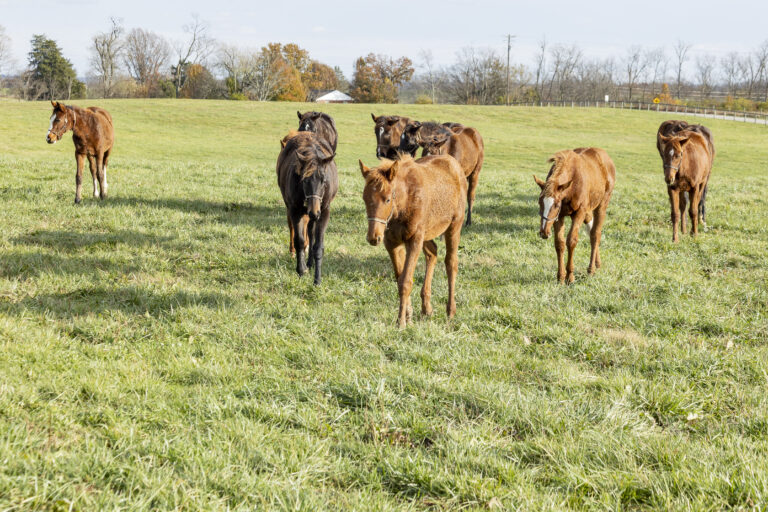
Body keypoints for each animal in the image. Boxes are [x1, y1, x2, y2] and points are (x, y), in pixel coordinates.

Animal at [277, 131, 339, 285]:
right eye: (304, 180)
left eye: (324, 180)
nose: (314, 211)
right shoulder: (295, 210)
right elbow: (299, 240)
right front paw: (301, 269)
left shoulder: (324, 212)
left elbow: (318, 246)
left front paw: (317, 280)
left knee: (311, 232)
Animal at [360, 154, 466, 327]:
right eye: (364, 198)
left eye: (387, 199)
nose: (374, 237)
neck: (404, 202)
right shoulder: (392, 243)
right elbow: (399, 278)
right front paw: (408, 314)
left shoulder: (414, 240)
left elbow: (406, 281)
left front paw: (401, 321)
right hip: (427, 233)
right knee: (432, 253)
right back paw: (426, 308)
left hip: (454, 226)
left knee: (451, 263)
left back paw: (450, 311)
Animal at [533, 148, 616, 284]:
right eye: (540, 202)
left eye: (556, 204)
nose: (544, 232)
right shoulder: (559, 216)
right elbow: (559, 243)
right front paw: (560, 276)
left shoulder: (579, 212)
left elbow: (571, 240)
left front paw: (570, 276)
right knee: (590, 228)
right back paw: (597, 263)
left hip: (602, 204)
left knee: (595, 234)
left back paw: (591, 269)